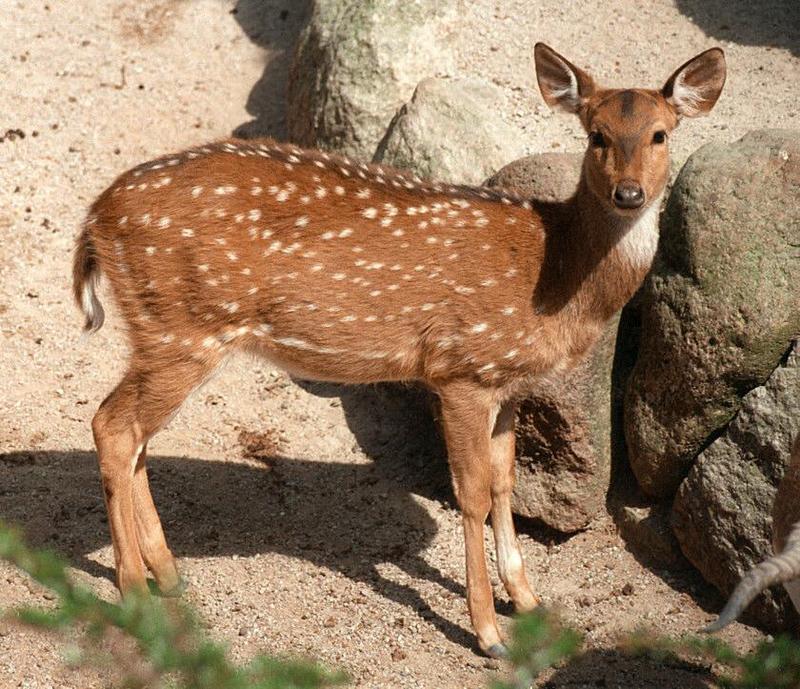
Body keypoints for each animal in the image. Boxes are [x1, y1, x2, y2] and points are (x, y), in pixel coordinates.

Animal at [73, 44, 724, 656]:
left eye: (661, 133)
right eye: (596, 134)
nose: (628, 192)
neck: (554, 277)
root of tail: (94, 219)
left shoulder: (507, 383)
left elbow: (506, 483)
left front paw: (529, 601)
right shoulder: (462, 368)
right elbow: (471, 495)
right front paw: (488, 632)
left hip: (168, 333)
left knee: (134, 436)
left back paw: (167, 574)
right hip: (182, 328)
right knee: (113, 425)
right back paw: (134, 592)